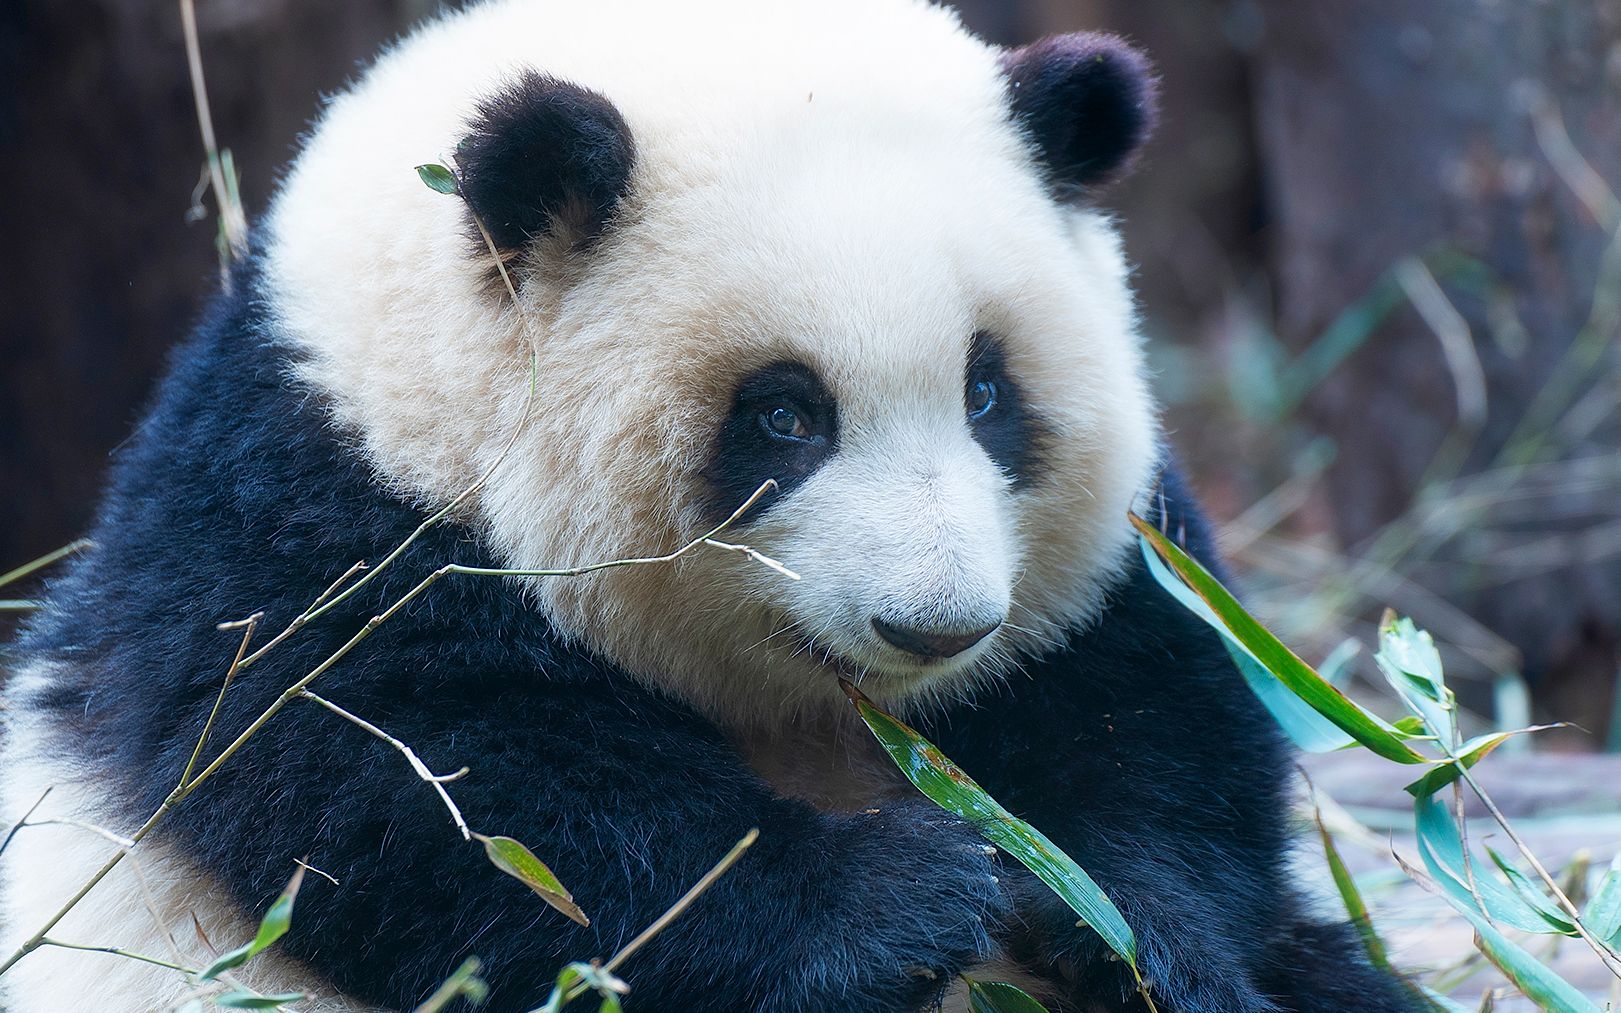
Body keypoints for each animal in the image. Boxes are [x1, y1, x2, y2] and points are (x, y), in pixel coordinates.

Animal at [0, 1, 1419, 1011]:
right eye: (784, 416)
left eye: (987, 390)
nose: (937, 625)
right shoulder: (310, 515)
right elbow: (411, 789)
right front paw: (907, 897)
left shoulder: (1106, 575)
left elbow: (1157, 713)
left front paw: (1096, 911)